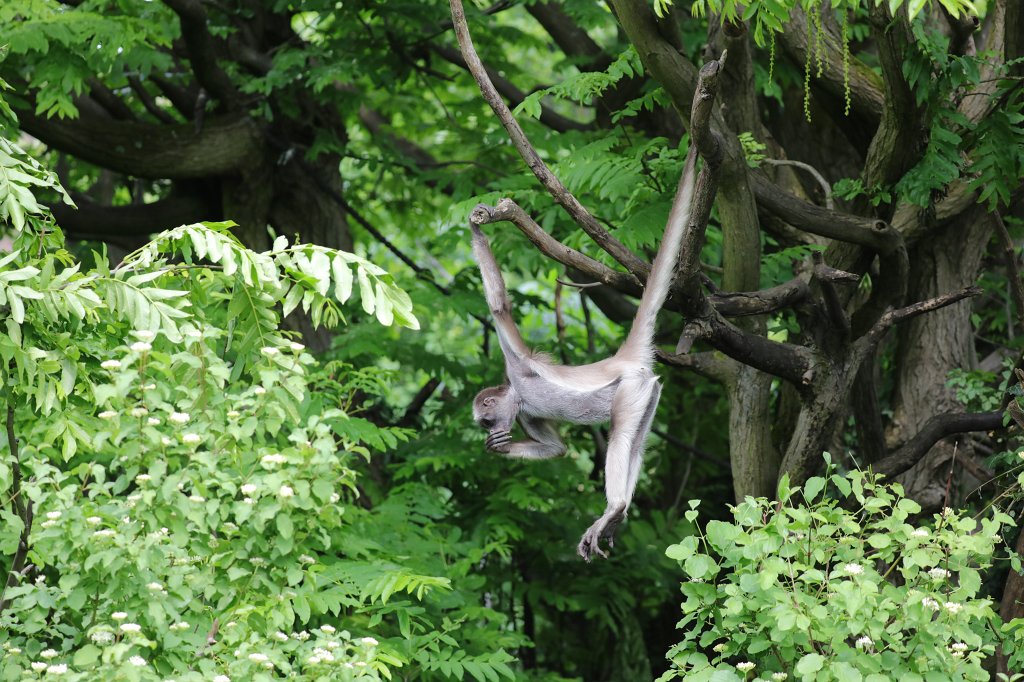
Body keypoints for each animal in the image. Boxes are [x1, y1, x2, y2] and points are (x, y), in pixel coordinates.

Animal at [469, 145, 699, 561]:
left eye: (487, 420)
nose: (494, 433)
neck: (518, 394)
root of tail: (623, 358)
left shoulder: (518, 365)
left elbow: (498, 307)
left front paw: (478, 226)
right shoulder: (526, 413)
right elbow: (556, 449)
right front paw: (497, 450)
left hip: (631, 388)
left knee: (621, 436)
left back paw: (615, 507)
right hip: (649, 393)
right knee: (635, 445)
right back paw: (617, 517)